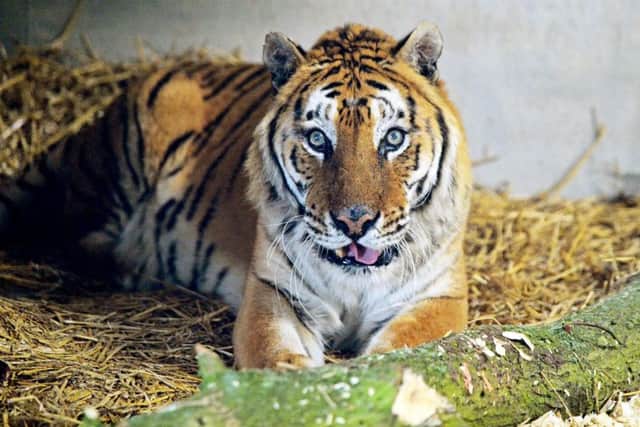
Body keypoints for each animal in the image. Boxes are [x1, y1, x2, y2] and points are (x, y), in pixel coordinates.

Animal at [0, 22, 472, 369]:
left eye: (392, 138)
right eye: (318, 140)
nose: (354, 222)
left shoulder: (439, 299)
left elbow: (403, 354)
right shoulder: (272, 292)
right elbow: (274, 356)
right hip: (114, 169)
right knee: (69, 237)